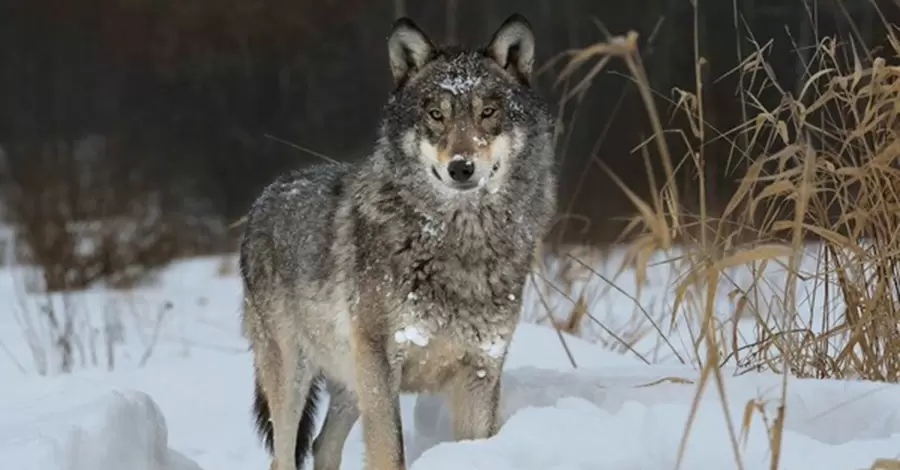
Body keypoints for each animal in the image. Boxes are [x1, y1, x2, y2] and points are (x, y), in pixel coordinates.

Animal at [243, 12, 560, 470]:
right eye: (436, 115)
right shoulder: (380, 365)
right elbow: (389, 453)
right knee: (283, 456)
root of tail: (265, 196)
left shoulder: (481, 369)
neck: (460, 244)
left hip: (349, 382)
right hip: (295, 377)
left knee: (323, 447)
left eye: (487, 112)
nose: (461, 167)